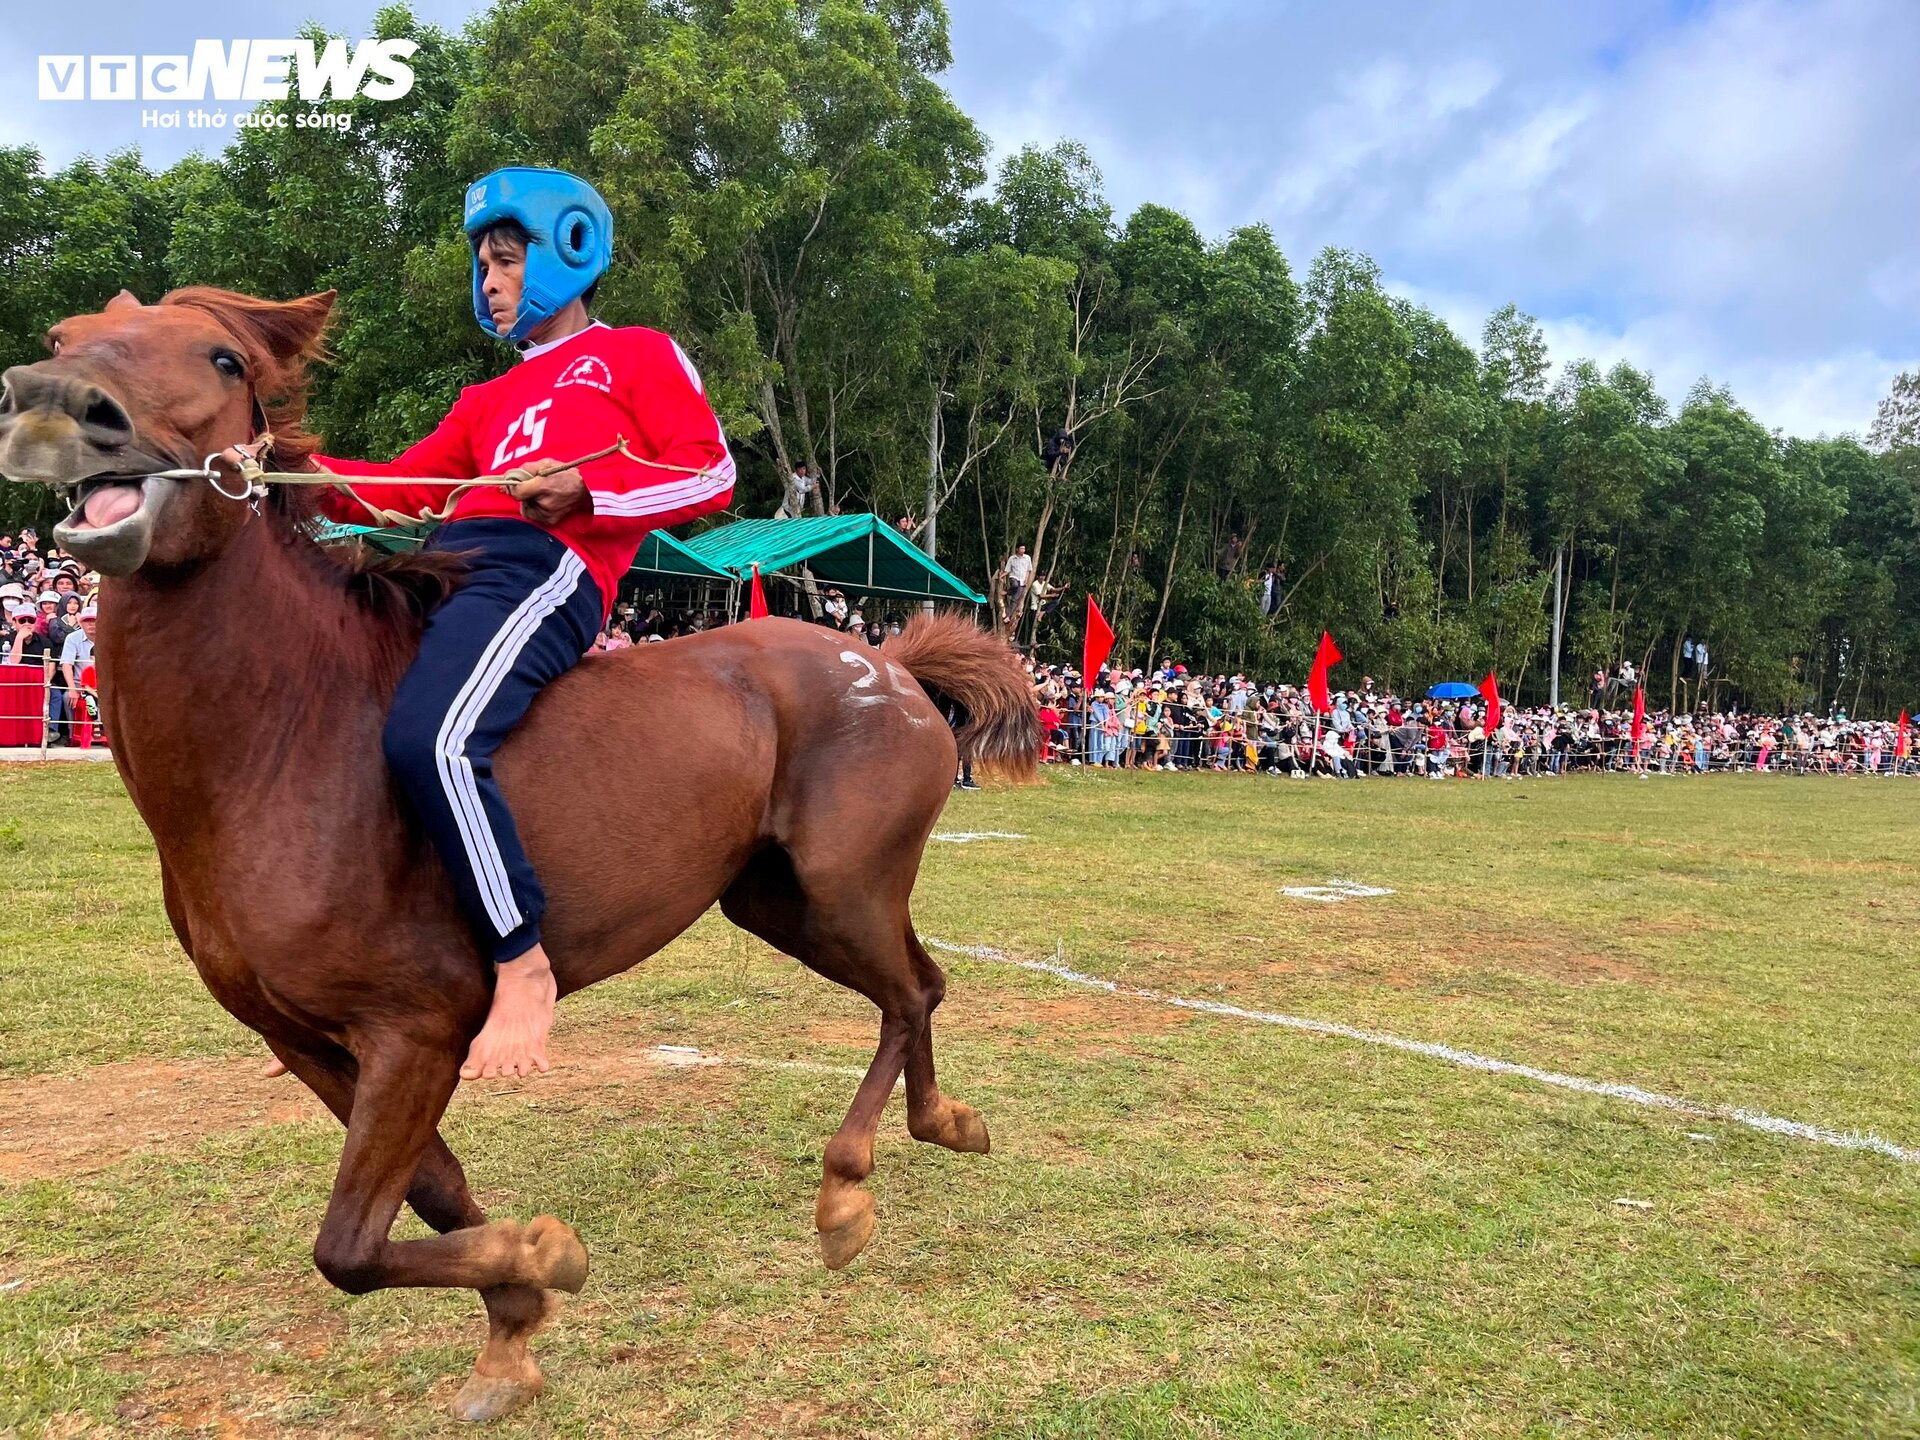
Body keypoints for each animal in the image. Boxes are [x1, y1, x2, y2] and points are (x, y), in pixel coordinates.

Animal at [0, 288, 1036, 1428]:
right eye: (58, 340)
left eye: (224, 358)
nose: (51, 405)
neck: (286, 739)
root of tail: (885, 660)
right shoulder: (315, 1044)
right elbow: (430, 1196)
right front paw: (514, 1321)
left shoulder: (415, 1033)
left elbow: (349, 1245)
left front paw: (545, 1259)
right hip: (781, 903)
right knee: (920, 986)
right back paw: (940, 1125)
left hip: (843, 891)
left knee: (909, 994)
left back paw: (849, 1187)